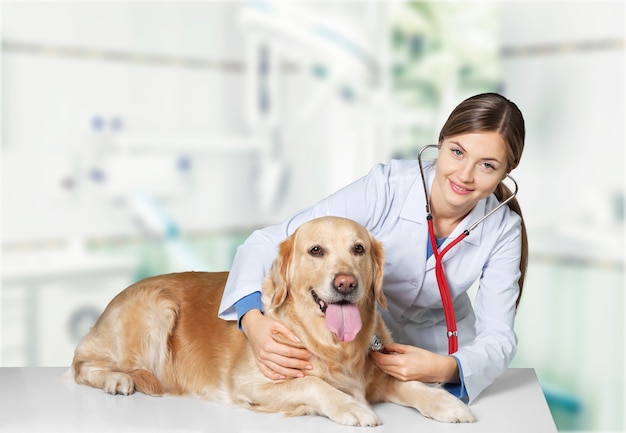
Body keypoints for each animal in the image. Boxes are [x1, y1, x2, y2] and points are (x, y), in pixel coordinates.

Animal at [68, 216, 472, 426]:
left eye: (359, 248)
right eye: (315, 250)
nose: (346, 283)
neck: (332, 346)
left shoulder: (377, 370)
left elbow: (411, 383)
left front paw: (447, 403)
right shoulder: (250, 383)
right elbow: (313, 383)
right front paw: (351, 406)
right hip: (158, 308)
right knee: (81, 363)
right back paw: (117, 380)